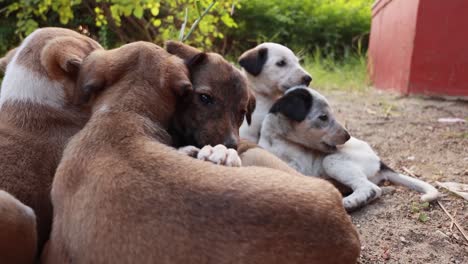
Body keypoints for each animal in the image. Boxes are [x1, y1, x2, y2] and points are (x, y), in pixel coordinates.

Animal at [258, 86, 440, 212]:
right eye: (323, 117)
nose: (347, 136)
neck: (278, 138)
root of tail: (379, 161)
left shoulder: (299, 169)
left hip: (332, 161)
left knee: (372, 189)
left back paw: (350, 203)